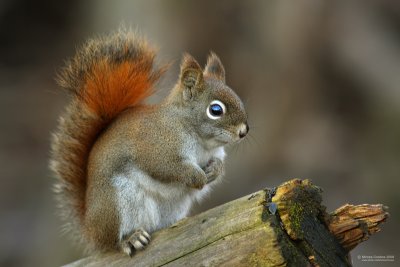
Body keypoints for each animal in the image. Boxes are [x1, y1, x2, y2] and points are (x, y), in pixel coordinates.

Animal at [50, 29, 248, 258]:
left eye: (237, 97)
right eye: (215, 110)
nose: (244, 131)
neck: (202, 141)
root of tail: (91, 230)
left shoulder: (215, 152)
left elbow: (218, 164)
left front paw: (214, 170)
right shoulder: (156, 147)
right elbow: (167, 167)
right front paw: (197, 177)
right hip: (118, 203)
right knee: (113, 243)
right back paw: (130, 239)